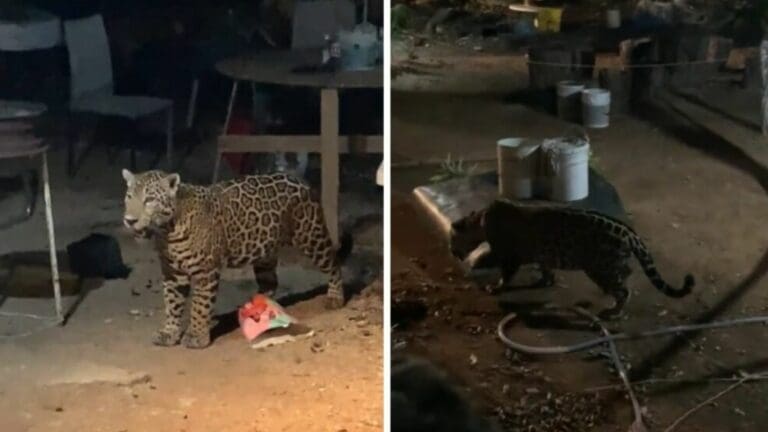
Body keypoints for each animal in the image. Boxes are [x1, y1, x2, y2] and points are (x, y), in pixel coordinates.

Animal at [121, 169, 351, 348]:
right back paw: (257, 309)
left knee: (334, 262)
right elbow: (172, 304)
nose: (129, 220)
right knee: (270, 282)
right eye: (129, 196)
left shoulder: (206, 271)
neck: (167, 231)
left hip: (310, 236)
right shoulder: (172, 273)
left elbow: (199, 306)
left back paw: (335, 298)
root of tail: (301, 181)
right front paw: (169, 333)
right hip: (264, 251)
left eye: (149, 200)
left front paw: (196, 336)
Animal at [449, 199, 694, 319]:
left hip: (600, 268)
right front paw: (545, 281)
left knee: (623, 291)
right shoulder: (540, 254)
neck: (480, 221)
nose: (452, 251)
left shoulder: (508, 254)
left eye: (451, 239)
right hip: (611, 264)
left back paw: (613, 312)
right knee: (625, 275)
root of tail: (631, 234)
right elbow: (545, 267)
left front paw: (492, 282)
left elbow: (500, 269)